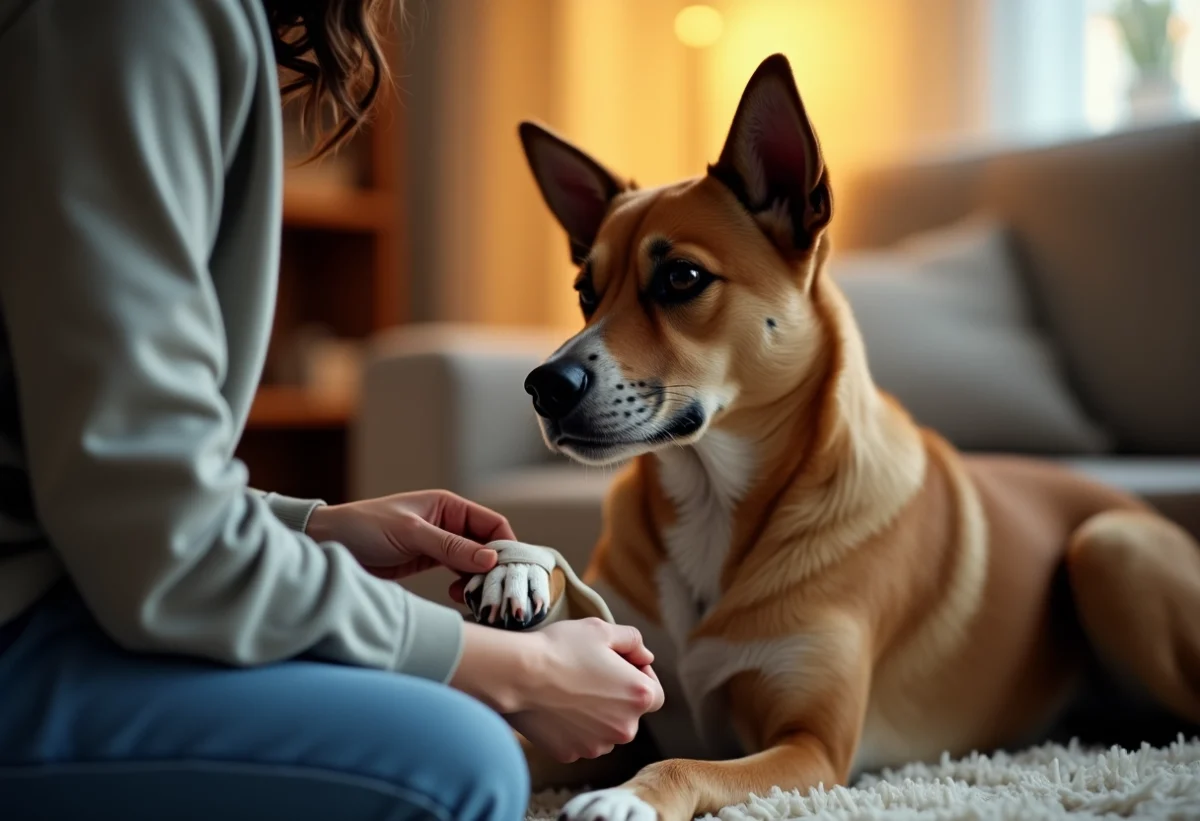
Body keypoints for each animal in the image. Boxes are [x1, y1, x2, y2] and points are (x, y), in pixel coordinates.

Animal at [463, 52, 1200, 820]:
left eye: (683, 277)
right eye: (585, 291)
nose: (544, 385)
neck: (711, 493)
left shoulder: (810, 747)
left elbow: (682, 763)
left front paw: (625, 798)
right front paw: (517, 563)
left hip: (1110, 545)